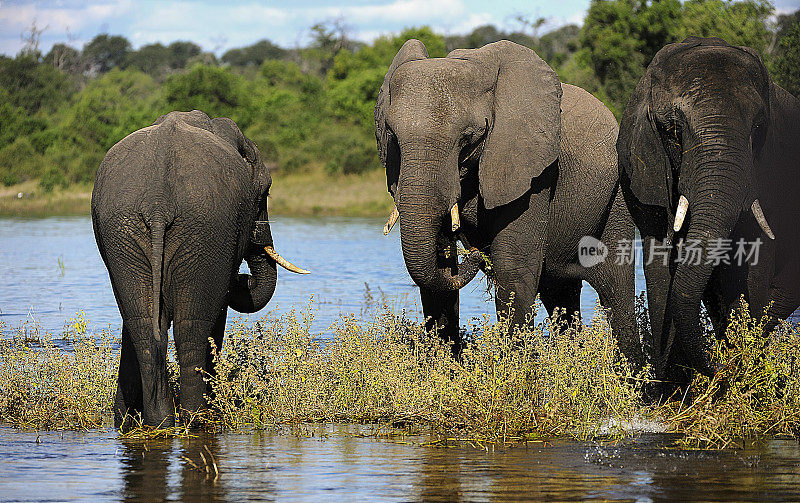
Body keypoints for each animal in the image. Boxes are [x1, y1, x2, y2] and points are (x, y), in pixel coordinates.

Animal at [91, 111, 310, 430]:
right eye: (266, 193)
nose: (243, 278)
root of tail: (158, 203)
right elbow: (216, 313)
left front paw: (127, 418)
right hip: (203, 231)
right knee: (193, 327)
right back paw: (198, 419)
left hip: (123, 232)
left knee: (143, 326)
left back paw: (155, 423)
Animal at [374, 39, 644, 368]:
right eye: (392, 137)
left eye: (469, 139)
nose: (475, 253)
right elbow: (438, 270)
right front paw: (446, 371)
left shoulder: (534, 171)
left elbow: (513, 267)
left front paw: (515, 373)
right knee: (560, 294)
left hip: (617, 198)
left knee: (616, 293)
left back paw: (630, 376)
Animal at [620, 37, 800, 388]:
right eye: (673, 130)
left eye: (758, 128)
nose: (718, 367)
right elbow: (661, 266)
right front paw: (673, 389)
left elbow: (753, 264)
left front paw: (743, 375)